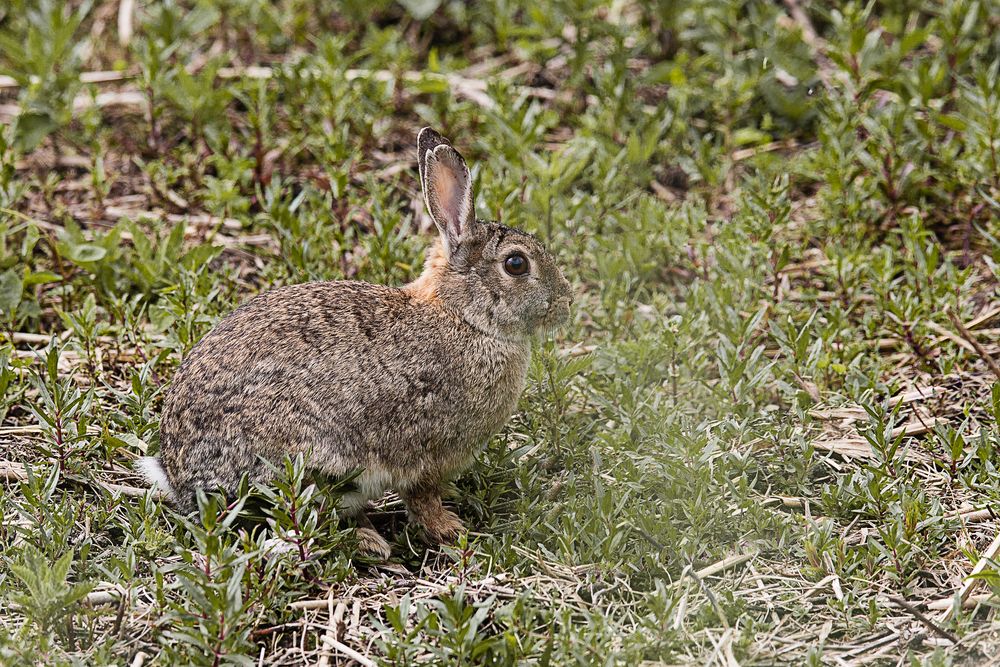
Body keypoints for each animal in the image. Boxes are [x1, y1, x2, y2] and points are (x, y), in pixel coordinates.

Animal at [135, 126, 572, 560]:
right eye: (516, 264)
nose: (566, 302)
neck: (463, 316)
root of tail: (180, 479)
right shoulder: (426, 455)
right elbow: (422, 498)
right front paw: (450, 530)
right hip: (312, 463)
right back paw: (368, 540)